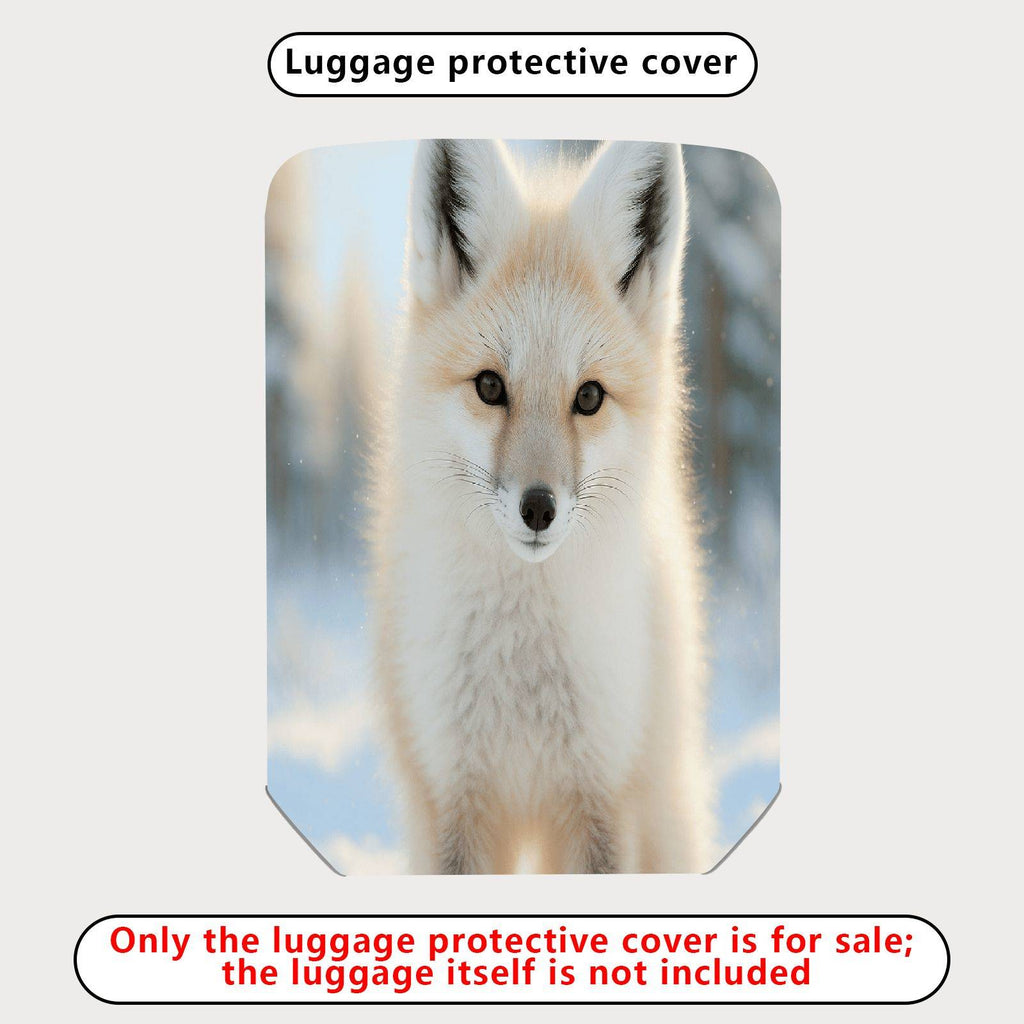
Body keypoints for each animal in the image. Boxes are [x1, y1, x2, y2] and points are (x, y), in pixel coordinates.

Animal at [369, 139, 714, 874]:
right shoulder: (454, 802)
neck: (521, 671)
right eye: (490, 387)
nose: (538, 508)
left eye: (588, 397)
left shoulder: (602, 803)